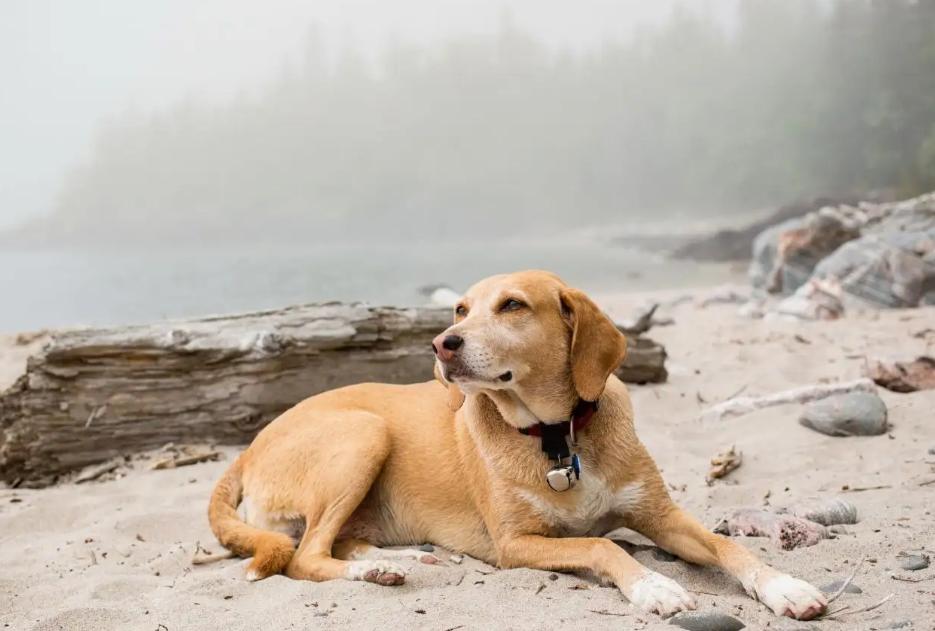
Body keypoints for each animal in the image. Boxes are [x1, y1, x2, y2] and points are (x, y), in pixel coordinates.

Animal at [210, 270, 828, 620]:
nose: (441, 343)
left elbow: (728, 547)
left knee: (334, 543)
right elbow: (603, 546)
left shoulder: (662, 515)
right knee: (306, 556)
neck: (556, 435)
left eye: (512, 306)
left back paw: (397, 560)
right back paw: (375, 572)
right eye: (460, 309)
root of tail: (245, 451)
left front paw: (786, 586)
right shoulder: (516, 544)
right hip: (363, 434)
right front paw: (654, 585)